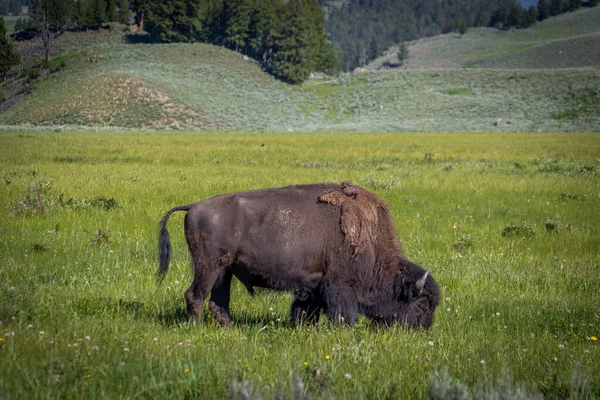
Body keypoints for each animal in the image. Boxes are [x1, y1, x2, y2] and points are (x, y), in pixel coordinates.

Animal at [158, 181, 440, 328]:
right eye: (422, 304)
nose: (423, 331)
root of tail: (194, 206)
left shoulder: (313, 285)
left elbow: (306, 308)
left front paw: (303, 326)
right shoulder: (340, 284)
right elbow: (343, 311)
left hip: (224, 270)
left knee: (218, 302)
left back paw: (231, 328)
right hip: (208, 267)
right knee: (195, 295)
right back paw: (196, 328)